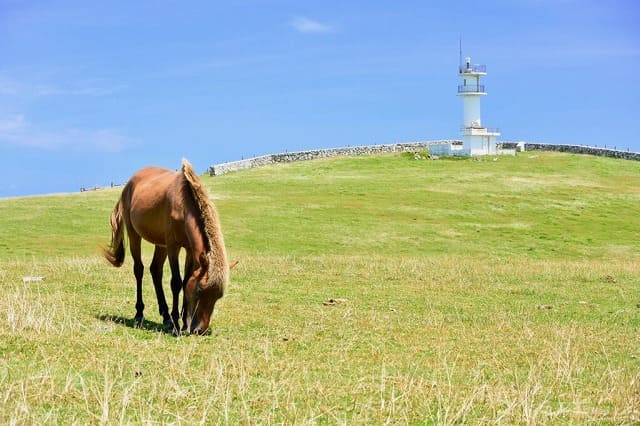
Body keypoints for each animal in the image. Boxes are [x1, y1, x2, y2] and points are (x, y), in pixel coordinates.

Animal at [105, 158, 232, 334]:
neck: (184, 205)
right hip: (135, 235)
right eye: (200, 291)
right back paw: (140, 314)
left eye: (218, 296)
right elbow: (176, 282)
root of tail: (129, 184)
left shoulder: (190, 250)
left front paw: (184, 322)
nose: (200, 330)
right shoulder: (173, 247)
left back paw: (165, 316)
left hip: (161, 245)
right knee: (139, 270)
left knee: (155, 270)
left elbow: (186, 280)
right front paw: (177, 323)